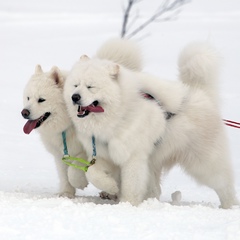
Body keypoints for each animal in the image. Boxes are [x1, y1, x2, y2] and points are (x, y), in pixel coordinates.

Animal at [20, 38, 142, 199]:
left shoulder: (86, 152)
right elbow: (64, 175)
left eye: (41, 100)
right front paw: (66, 193)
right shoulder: (61, 154)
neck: (67, 124)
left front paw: (80, 182)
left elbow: (74, 171)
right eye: (28, 98)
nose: (24, 112)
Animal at [64, 41, 238, 208]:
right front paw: (111, 187)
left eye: (90, 86)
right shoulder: (104, 154)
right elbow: (91, 172)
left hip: (204, 163)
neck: (118, 115)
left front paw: (127, 203)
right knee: (156, 189)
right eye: (75, 85)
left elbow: (131, 184)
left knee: (224, 184)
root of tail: (202, 93)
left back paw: (229, 205)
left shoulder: (132, 156)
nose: (75, 97)